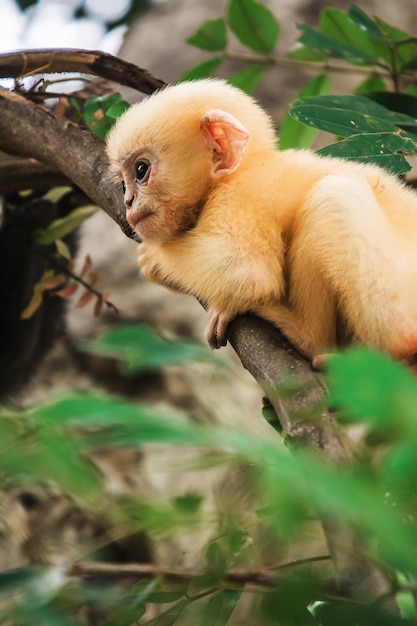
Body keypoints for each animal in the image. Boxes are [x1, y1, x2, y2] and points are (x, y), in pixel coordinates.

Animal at [105, 79, 417, 360]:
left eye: (141, 170)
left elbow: (248, 273)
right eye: (123, 184)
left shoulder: (240, 197)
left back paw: (307, 337)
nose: (128, 202)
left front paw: (155, 260)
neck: (238, 172)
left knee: (332, 197)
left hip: (398, 303)